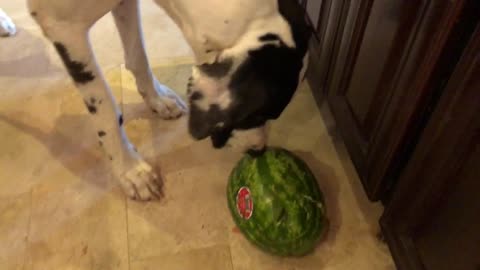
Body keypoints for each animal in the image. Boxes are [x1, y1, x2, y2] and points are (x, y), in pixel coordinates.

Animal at [27, 0, 312, 200]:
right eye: (258, 115)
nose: (258, 150)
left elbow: (138, 56)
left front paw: (157, 99)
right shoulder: (64, 29)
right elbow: (106, 108)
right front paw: (130, 170)